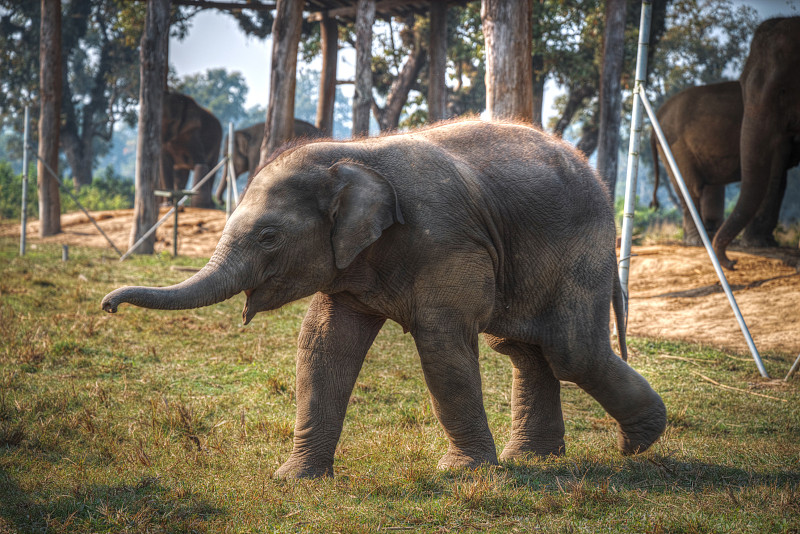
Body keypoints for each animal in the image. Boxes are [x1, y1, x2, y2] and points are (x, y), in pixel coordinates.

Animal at [100, 122, 664, 482]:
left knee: (571, 352)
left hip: (583, 252)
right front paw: (294, 479)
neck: (353, 154)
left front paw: (462, 474)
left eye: (267, 237)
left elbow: (441, 345)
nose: (108, 306)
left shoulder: (447, 241)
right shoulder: (350, 264)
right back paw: (535, 461)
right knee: (524, 350)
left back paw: (639, 444)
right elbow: (323, 346)